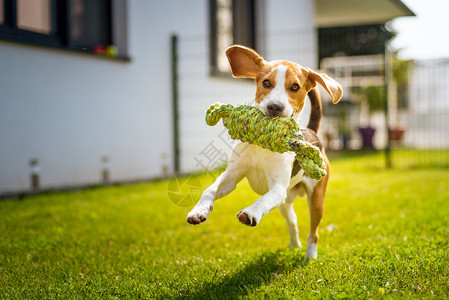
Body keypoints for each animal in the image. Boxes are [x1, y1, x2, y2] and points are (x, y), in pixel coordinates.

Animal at [185, 45, 340, 258]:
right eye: (266, 82)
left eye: (295, 87)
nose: (275, 107)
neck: (262, 145)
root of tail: (312, 131)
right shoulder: (231, 177)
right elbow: (210, 190)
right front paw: (198, 211)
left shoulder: (277, 189)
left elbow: (263, 199)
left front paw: (251, 213)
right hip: (285, 202)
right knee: (293, 220)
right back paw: (294, 245)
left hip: (316, 199)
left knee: (313, 233)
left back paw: (310, 257)